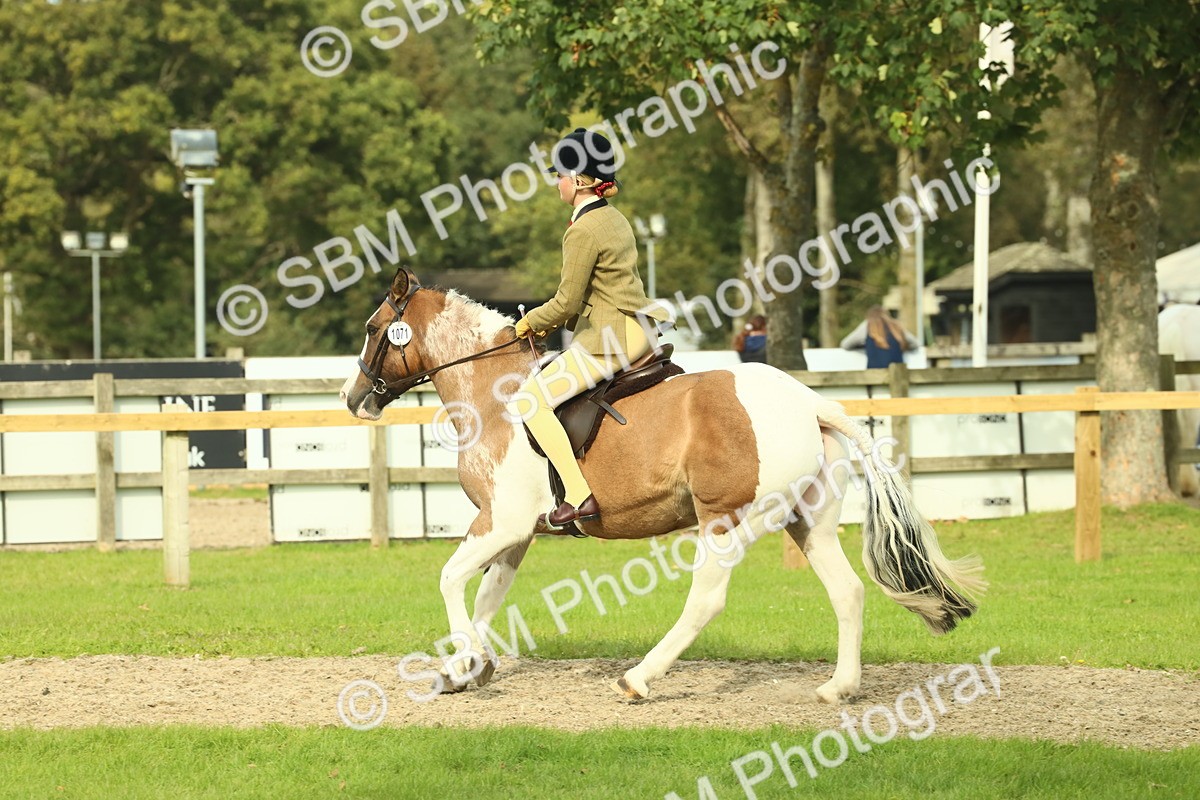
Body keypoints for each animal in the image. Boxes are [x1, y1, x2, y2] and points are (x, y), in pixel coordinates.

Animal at [340, 267, 985, 703]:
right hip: (808, 522)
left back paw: (638, 679)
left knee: (706, 600)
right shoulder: (515, 535)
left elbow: (451, 580)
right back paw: (839, 688)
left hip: (726, 520)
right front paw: (469, 667)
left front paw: (466, 661)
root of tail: (808, 401)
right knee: (847, 592)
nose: (353, 398)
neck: (493, 395)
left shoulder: (502, 522)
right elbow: (486, 598)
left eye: (374, 328)